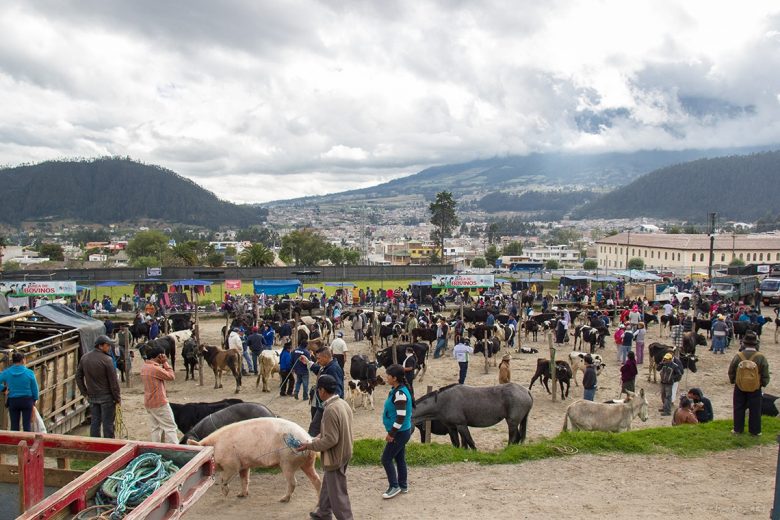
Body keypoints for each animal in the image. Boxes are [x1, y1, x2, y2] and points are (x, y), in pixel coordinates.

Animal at [188, 416, 320, 502]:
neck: (216, 447)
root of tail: (308, 438)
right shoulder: (243, 464)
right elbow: (244, 479)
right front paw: (241, 495)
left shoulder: (231, 463)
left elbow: (224, 478)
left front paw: (225, 494)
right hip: (307, 462)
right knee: (316, 479)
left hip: (287, 460)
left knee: (293, 482)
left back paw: (282, 499)